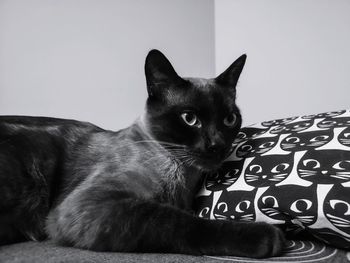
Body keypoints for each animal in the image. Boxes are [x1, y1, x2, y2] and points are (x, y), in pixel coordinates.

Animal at [0, 49, 284, 258]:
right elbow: (176, 220)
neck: (182, 177)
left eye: (229, 119)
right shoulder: (91, 204)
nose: (217, 145)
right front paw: (268, 237)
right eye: (189, 118)